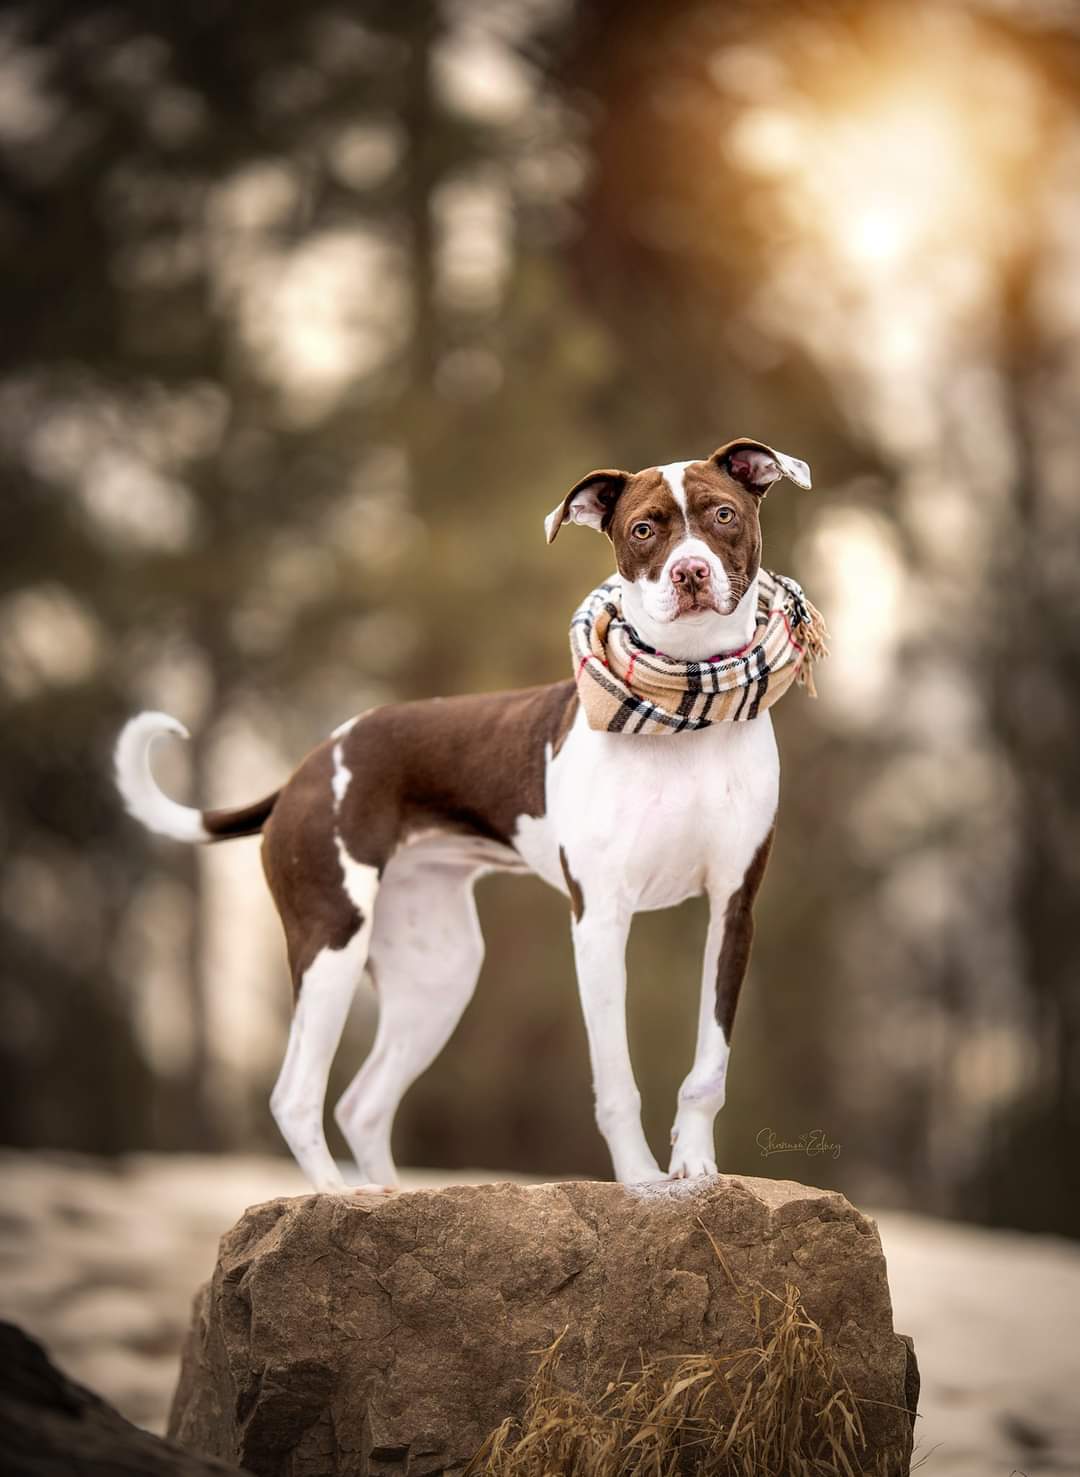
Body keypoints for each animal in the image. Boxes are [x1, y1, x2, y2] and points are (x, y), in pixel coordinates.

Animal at [115, 434, 809, 1187]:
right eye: (644, 529)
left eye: (723, 514)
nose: (689, 572)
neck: (685, 712)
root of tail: (306, 768)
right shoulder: (599, 920)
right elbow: (616, 1082)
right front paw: (641, 1181)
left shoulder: (731, 910)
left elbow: (708, 1066)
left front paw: (695, 1167)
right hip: (331, 939)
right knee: (295, 1096)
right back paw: (333, 1196)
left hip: (439, 971)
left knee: (362, 1104)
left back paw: (383, 1199)